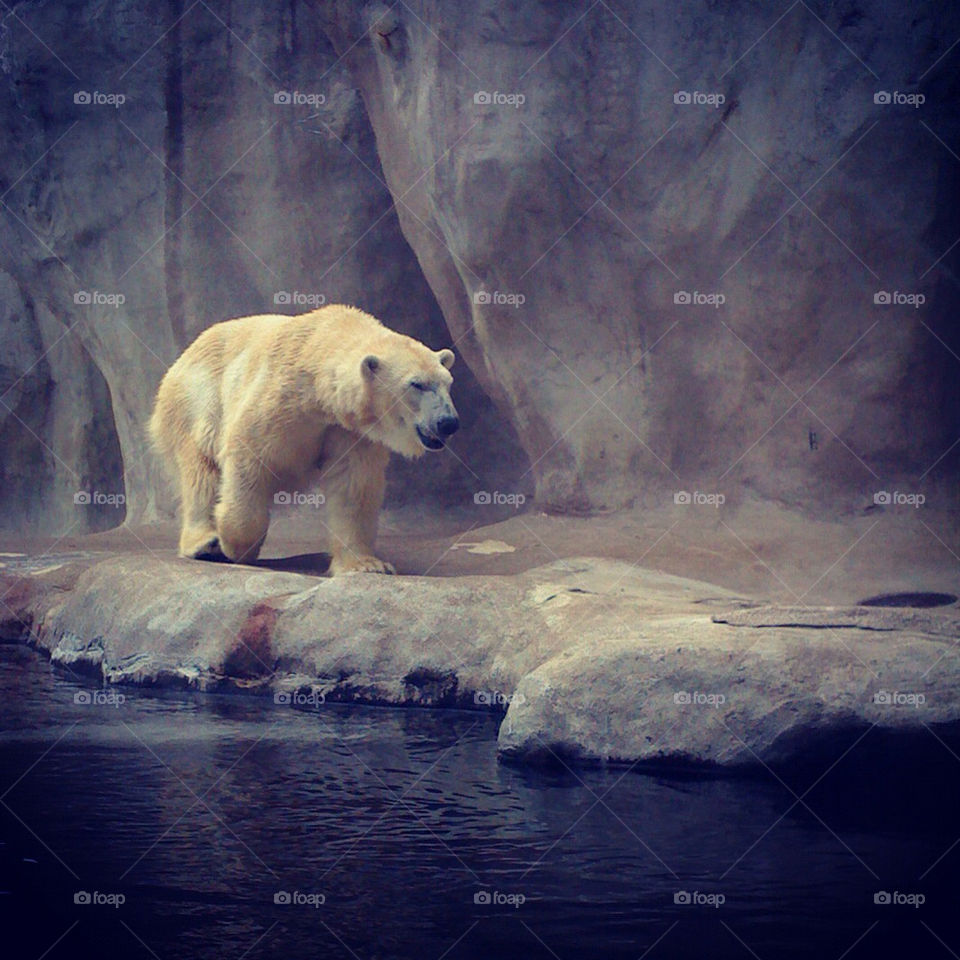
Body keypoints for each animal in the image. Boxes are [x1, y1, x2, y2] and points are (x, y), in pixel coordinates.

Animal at [148, 304, 458, 574]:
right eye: (416, 384)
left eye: (448, 383)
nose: (448, 422)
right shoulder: (278, 398)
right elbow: (248, 456)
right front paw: (237, 545)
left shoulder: (350, 432)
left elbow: (353, 486)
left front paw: (367, 565)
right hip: (197, 397)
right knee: (200, 465)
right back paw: (205, 543)